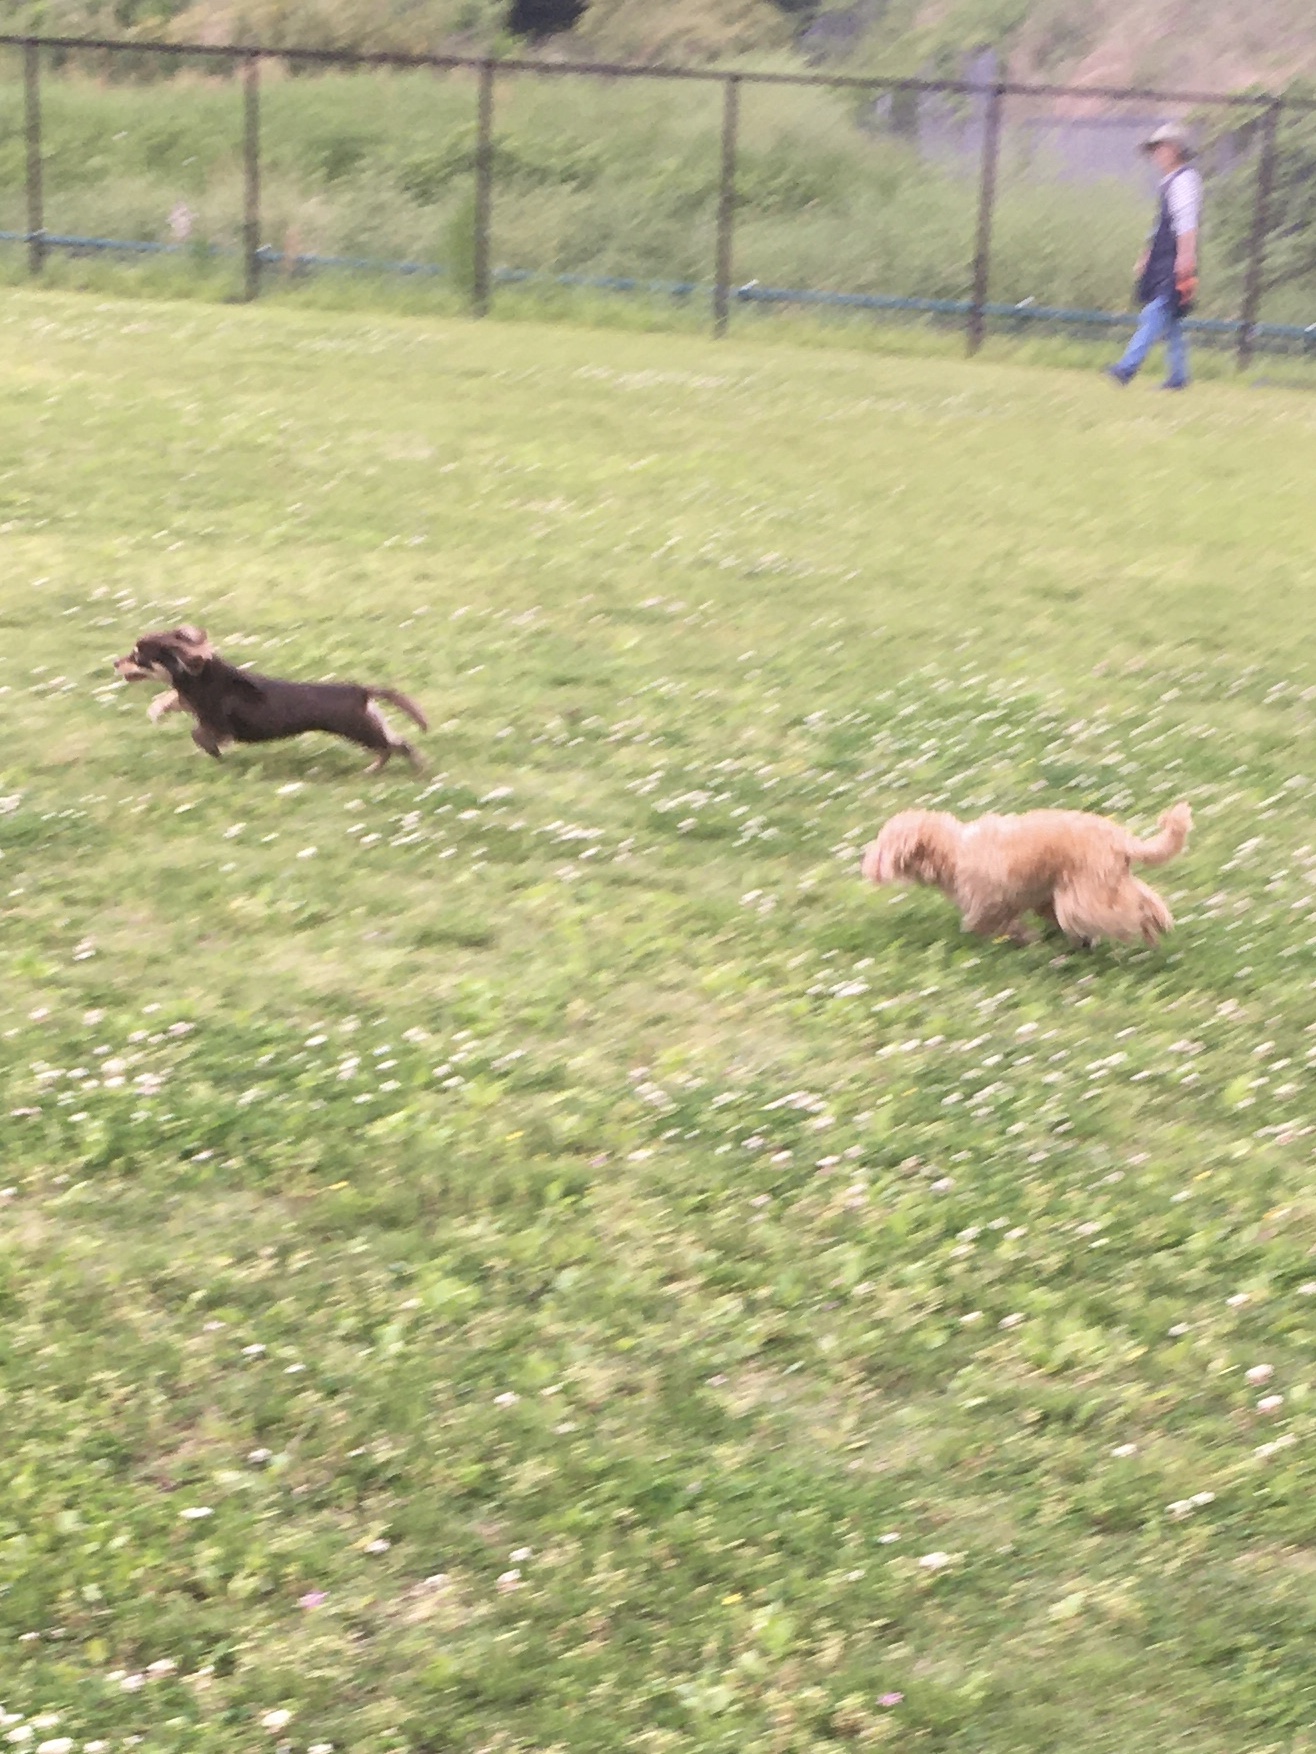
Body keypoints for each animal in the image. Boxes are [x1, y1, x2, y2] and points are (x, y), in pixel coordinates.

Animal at [115, 626, 427, 773]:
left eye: (137, 656)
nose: (115, 663)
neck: (202, 677)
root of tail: (362, 691)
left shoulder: (219, 725)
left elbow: (199, 734)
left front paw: (214, 752)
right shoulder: (190, 701)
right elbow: (170, 698)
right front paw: (156, 709)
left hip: (358, 729)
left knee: (395, 746)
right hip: (369, 723)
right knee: (396, 742)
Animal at [861, 800, 1192, 947]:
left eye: (882, 845)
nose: (865, 864)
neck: (953, 850)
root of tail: (1120, 839)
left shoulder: (991, 901)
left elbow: (985, 923)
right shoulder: (1038, 897)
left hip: (1087, 895)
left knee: (1132, 910)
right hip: (1102, 884)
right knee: (1145, 898)